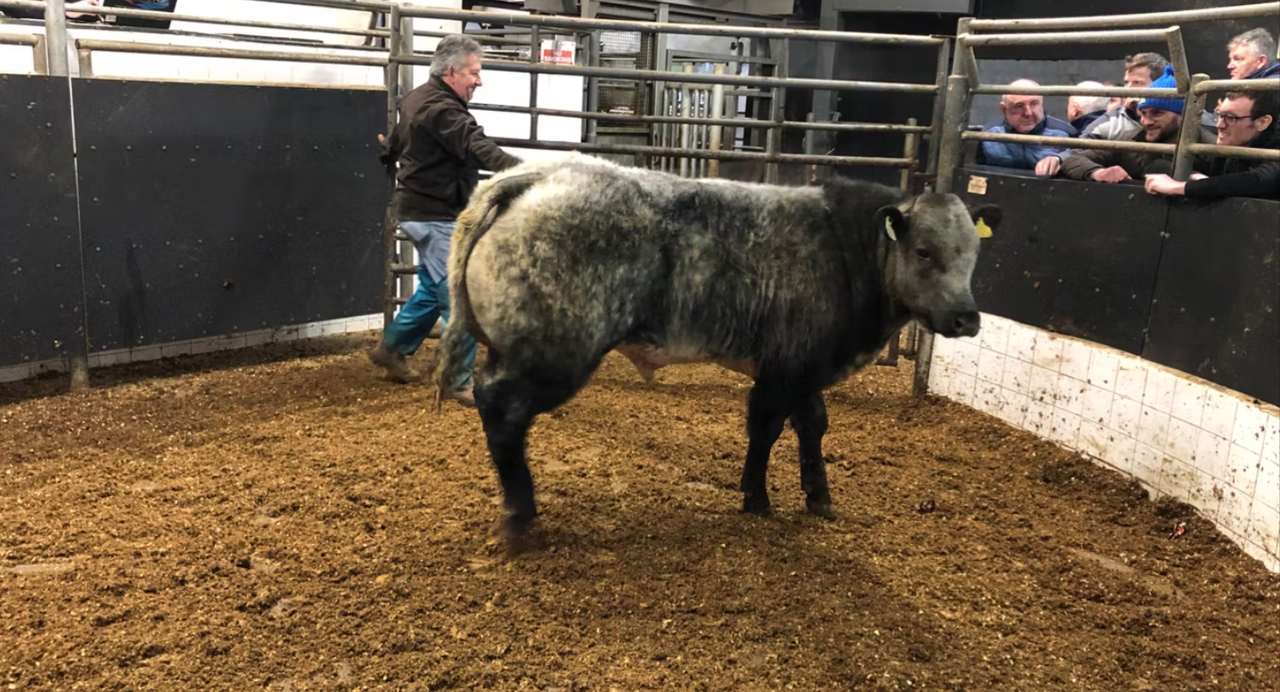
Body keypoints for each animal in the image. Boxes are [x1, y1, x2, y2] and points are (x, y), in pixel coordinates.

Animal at [431, 152, 1001, 545]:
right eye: (923, 251)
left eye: (974, 252)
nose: (967, 317)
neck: (844, 250)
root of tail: (538, 174)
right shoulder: (787, 367)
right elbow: (769, 428)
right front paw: (759, 496)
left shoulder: (799, 367)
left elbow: (809, 426)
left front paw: (816, 496)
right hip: (556, 354)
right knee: (502, 407)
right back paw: (520, 515)